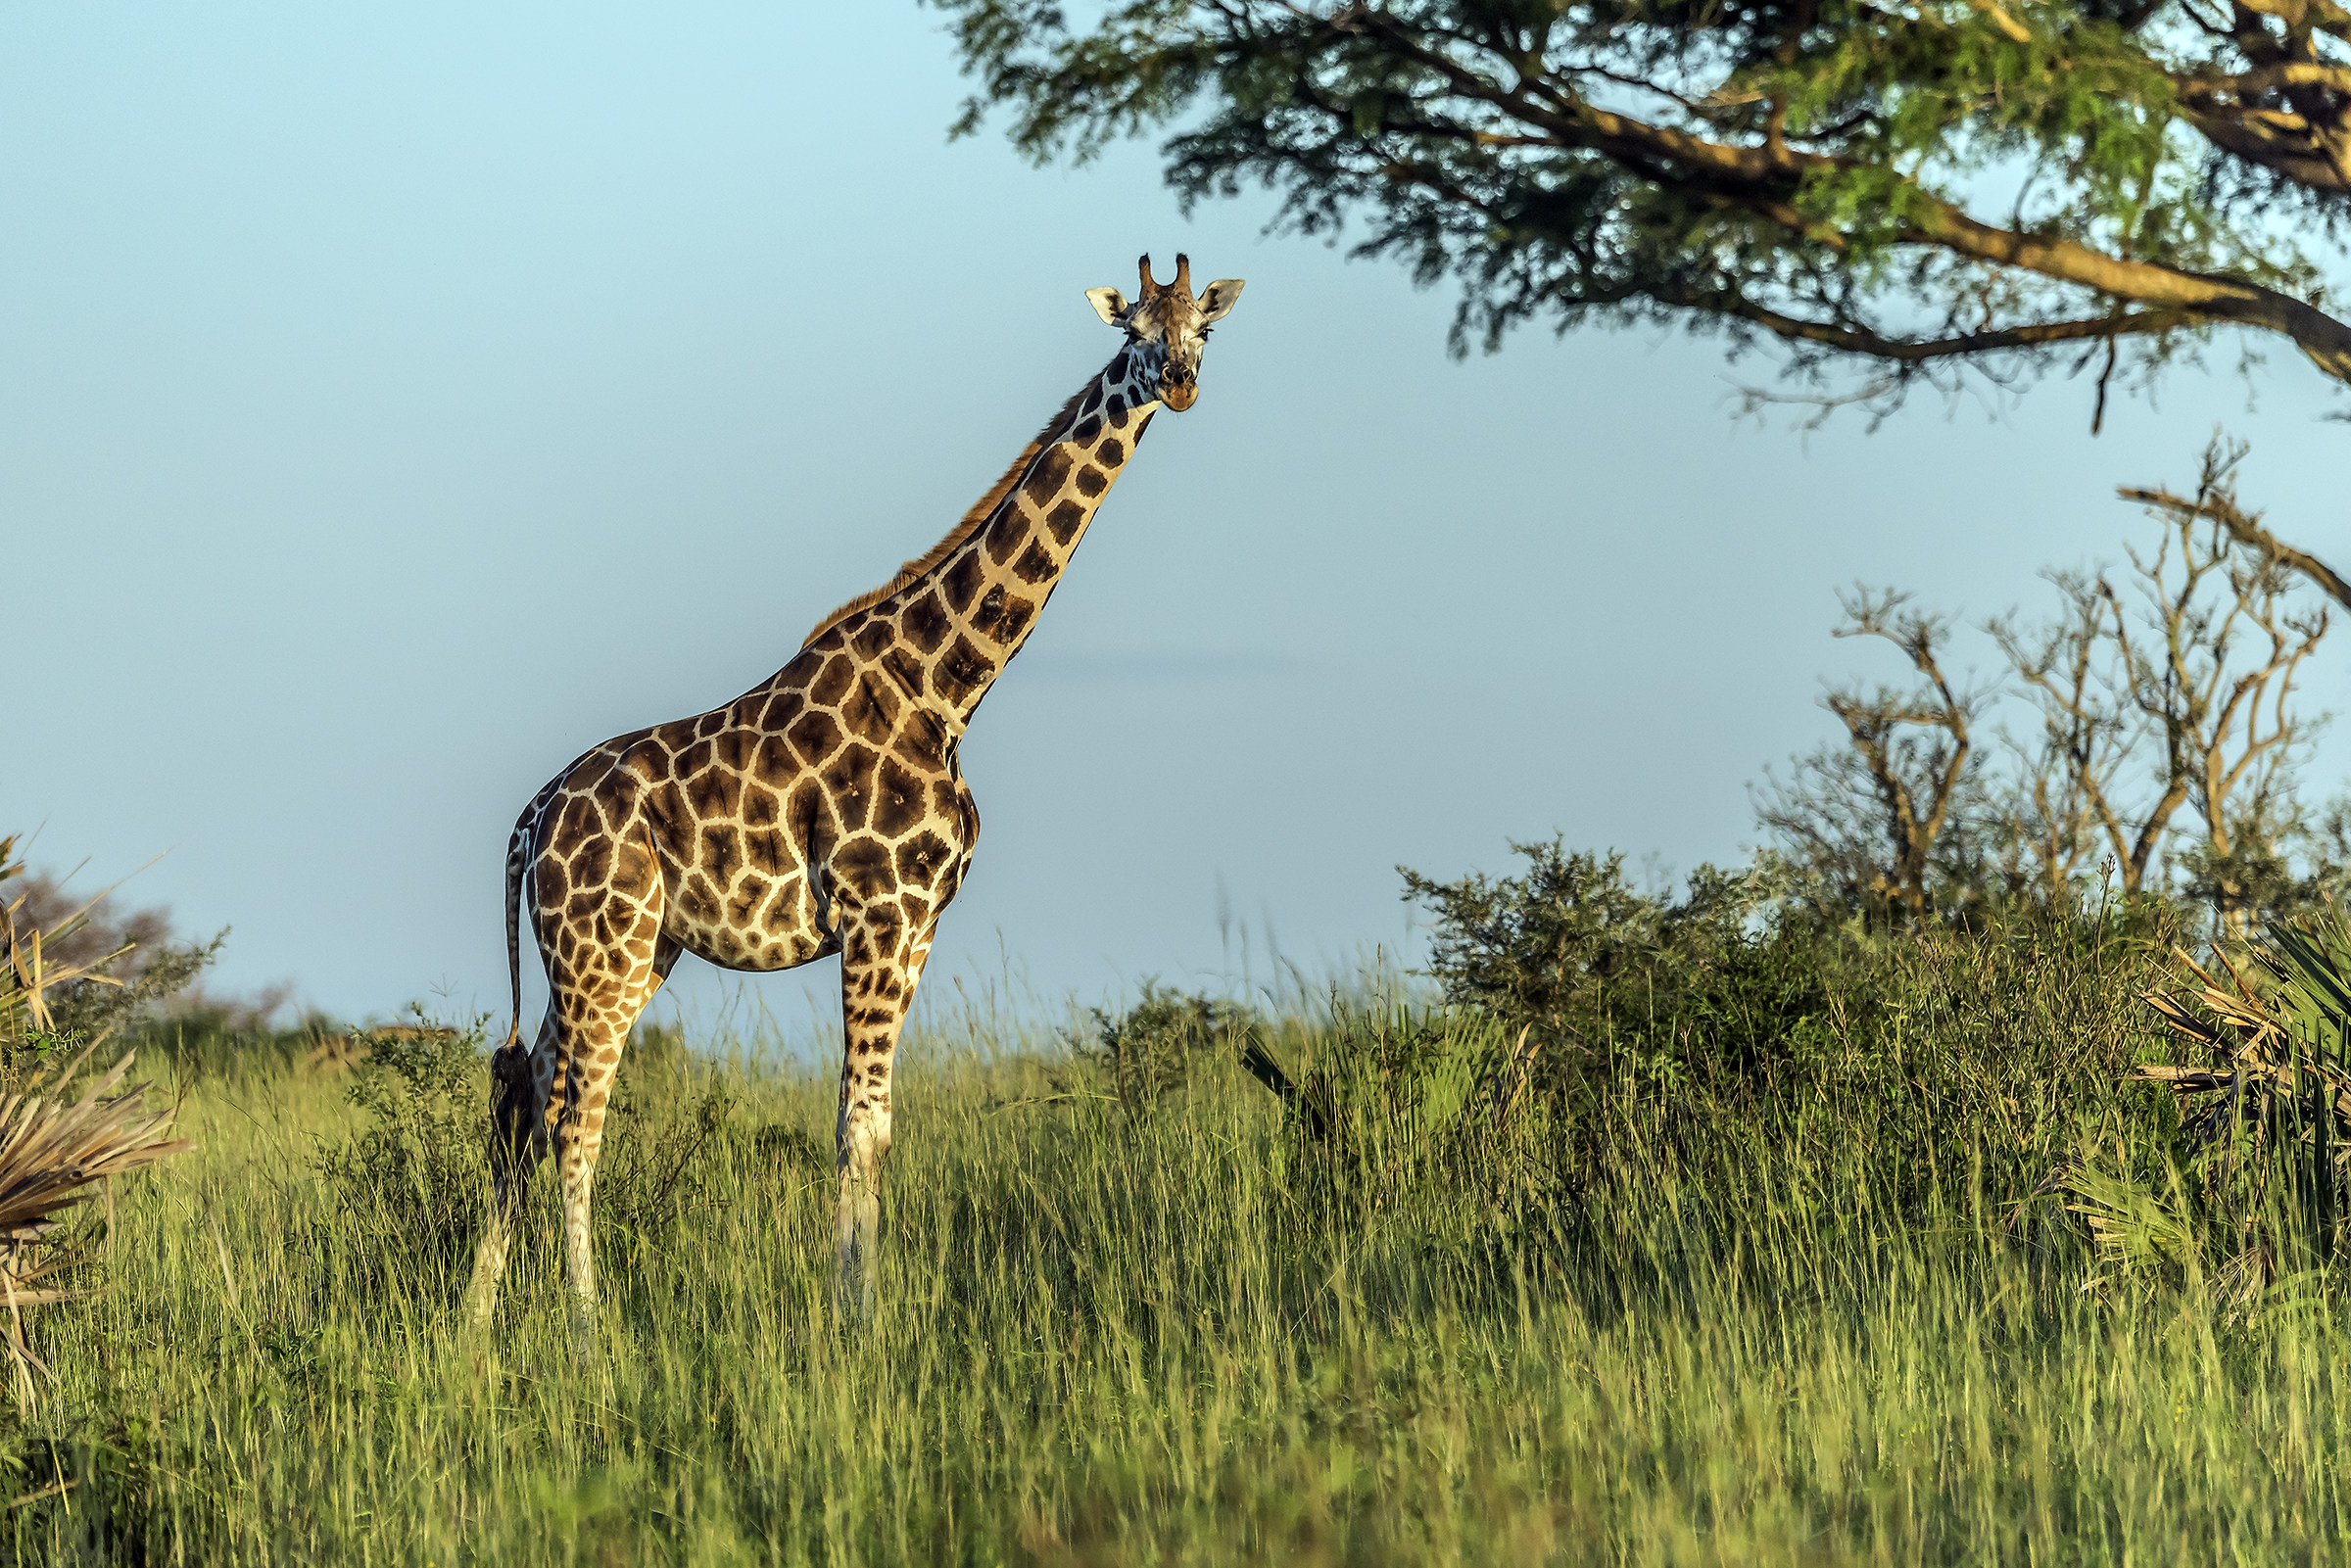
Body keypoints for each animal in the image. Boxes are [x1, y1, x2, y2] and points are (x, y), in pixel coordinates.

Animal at [465, 254, 1246, 1343]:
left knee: (522, 1101)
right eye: (1133, 329)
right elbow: (850, 1123)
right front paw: (854, 1322)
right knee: (577, 1117)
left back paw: (473, 1324)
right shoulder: (878, 911)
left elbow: (875, 1124)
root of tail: (530, 818)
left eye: (1200, 331)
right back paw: (588, 1329)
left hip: (619, 950)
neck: (949, 684)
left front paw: (867, 1309)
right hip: (602, 950)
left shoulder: (918, 923)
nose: (1176, 382)